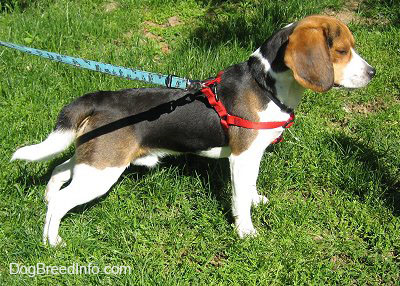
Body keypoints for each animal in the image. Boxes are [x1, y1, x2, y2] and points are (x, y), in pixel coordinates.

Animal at [11, 15, 376, 246]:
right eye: (341, 51)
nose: (373, 73)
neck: (266, 85)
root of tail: (99, 99)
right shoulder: (242, 157)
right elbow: (239, 197)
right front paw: (246, 232)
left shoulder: (253, 156)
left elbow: (251, 186)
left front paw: (256, 200)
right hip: (102, 171)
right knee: (62, 201)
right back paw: (52, 241)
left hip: (93, 159)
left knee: (59, 171)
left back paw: (47, 197)